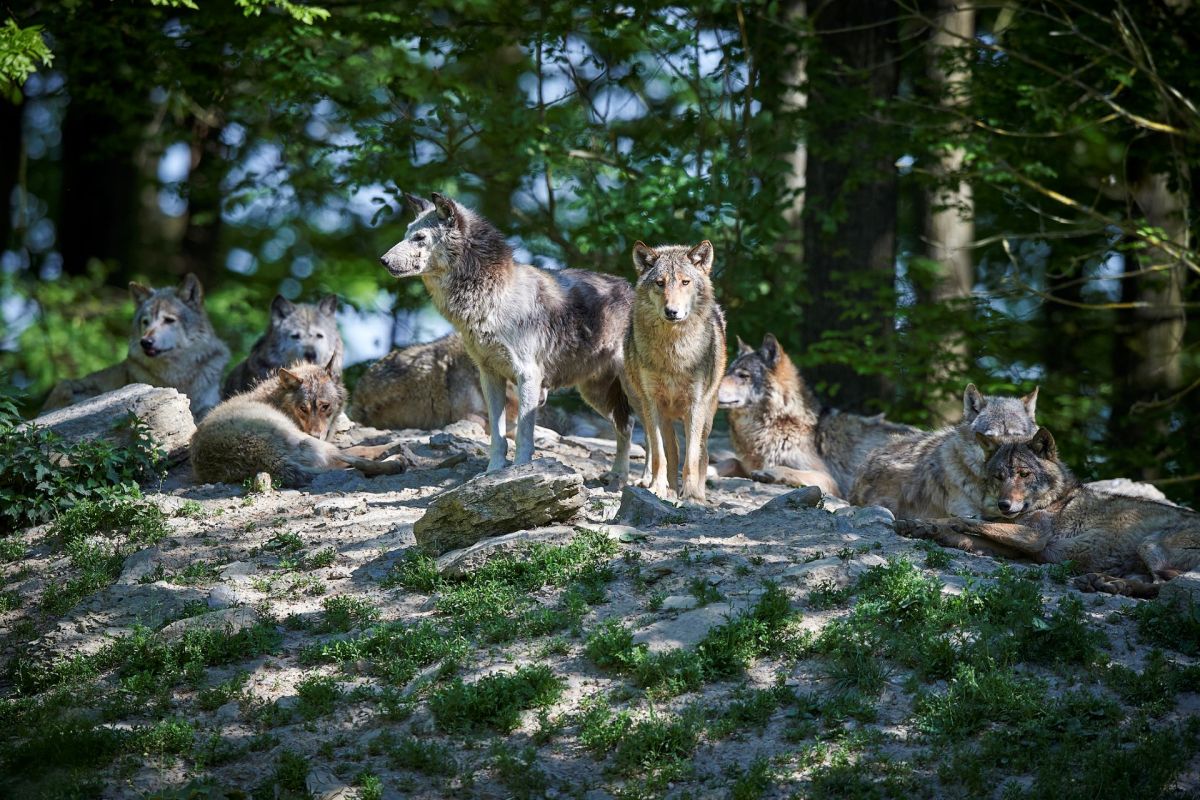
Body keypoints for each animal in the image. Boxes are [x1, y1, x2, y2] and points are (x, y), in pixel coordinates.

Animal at [191, 359, 407, 486]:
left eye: (325, 406)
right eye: (303, 408)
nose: (315, 434)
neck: (278, 401)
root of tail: (265, 457)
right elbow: (360, 448)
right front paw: (391, 445)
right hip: (312, 444)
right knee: (355, 459)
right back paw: (395, 459)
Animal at [379, 193, 634, 480]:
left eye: (419, 237)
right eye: (406, 234)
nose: (383, 260)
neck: (493, 297)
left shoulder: (528, 376)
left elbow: (523, 433)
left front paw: (521, 470)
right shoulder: (490, 377)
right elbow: (497, 436)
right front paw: (493, 471)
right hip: (596, 395)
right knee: (626, 428)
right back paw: (619, 476)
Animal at [624, 241, 726, 503]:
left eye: (685, 282)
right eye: (660, 283)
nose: (672, 311)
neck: (673, 354)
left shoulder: (695, 405)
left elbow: (691, 459)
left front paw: (691, 496)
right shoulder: (651, 403)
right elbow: (661, 455)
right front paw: (657, 488)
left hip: (706, 416)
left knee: (702, 454)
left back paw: (697, 492)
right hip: (657, 414)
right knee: (672, 451)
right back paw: (668, 488)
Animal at [717, 333, 918, 497]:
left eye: (743, 376)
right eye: (727, 373)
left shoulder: (830, 480)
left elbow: (791, 470)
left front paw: (771, 473)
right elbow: (731, 460)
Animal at [895, 428, 1200, 598]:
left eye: (1024, 474)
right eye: (999, 477)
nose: (1005, 505)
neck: (1052, 500)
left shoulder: (1033, 538)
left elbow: (967, 520)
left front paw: (933, 524)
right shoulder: (1017, 547)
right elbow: (967, 533)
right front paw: (924, 528)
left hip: (1150, 544)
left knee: (1164, 586)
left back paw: (1108, 583)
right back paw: (1105, 583)